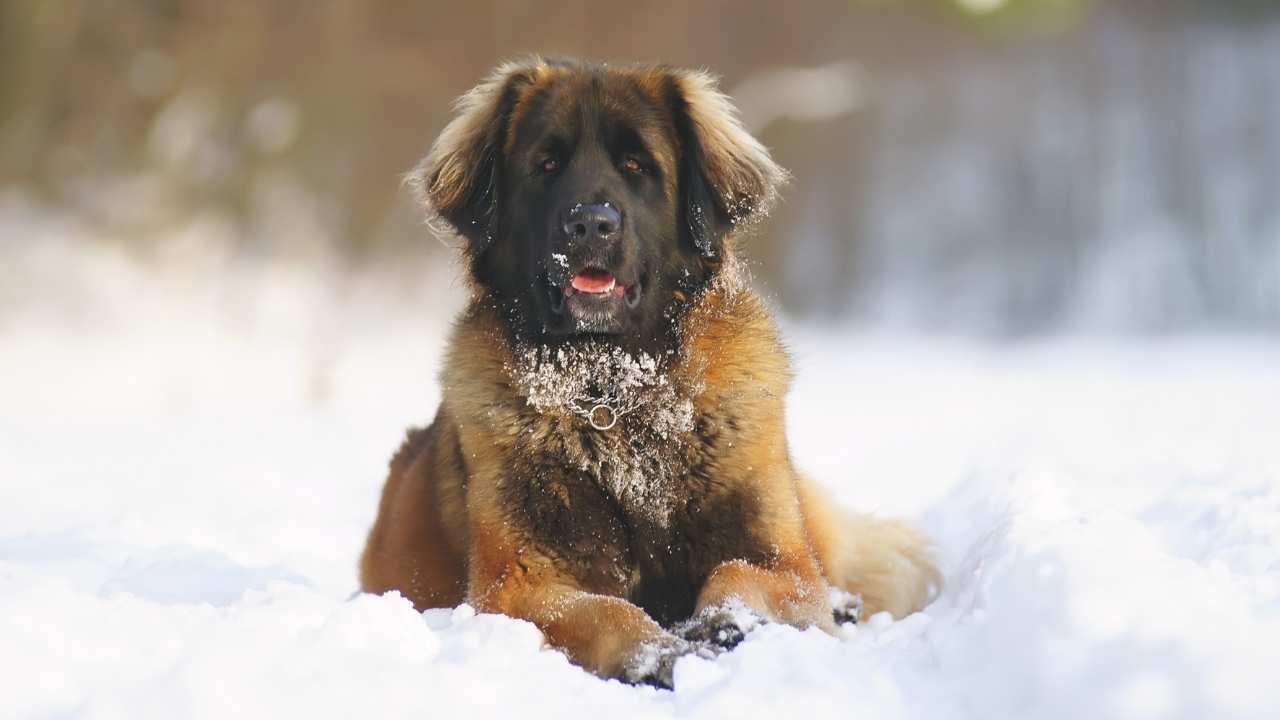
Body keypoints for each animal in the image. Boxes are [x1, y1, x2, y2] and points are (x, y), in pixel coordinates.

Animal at [360, 56, 942, 681]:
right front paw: (661, 654)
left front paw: (722, 623)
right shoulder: (514, 584)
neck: (615, 388)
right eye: (546, 164)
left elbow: (738, 572)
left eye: (637, 166)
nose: (591, 224)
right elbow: (606, 610)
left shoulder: (788, 565)